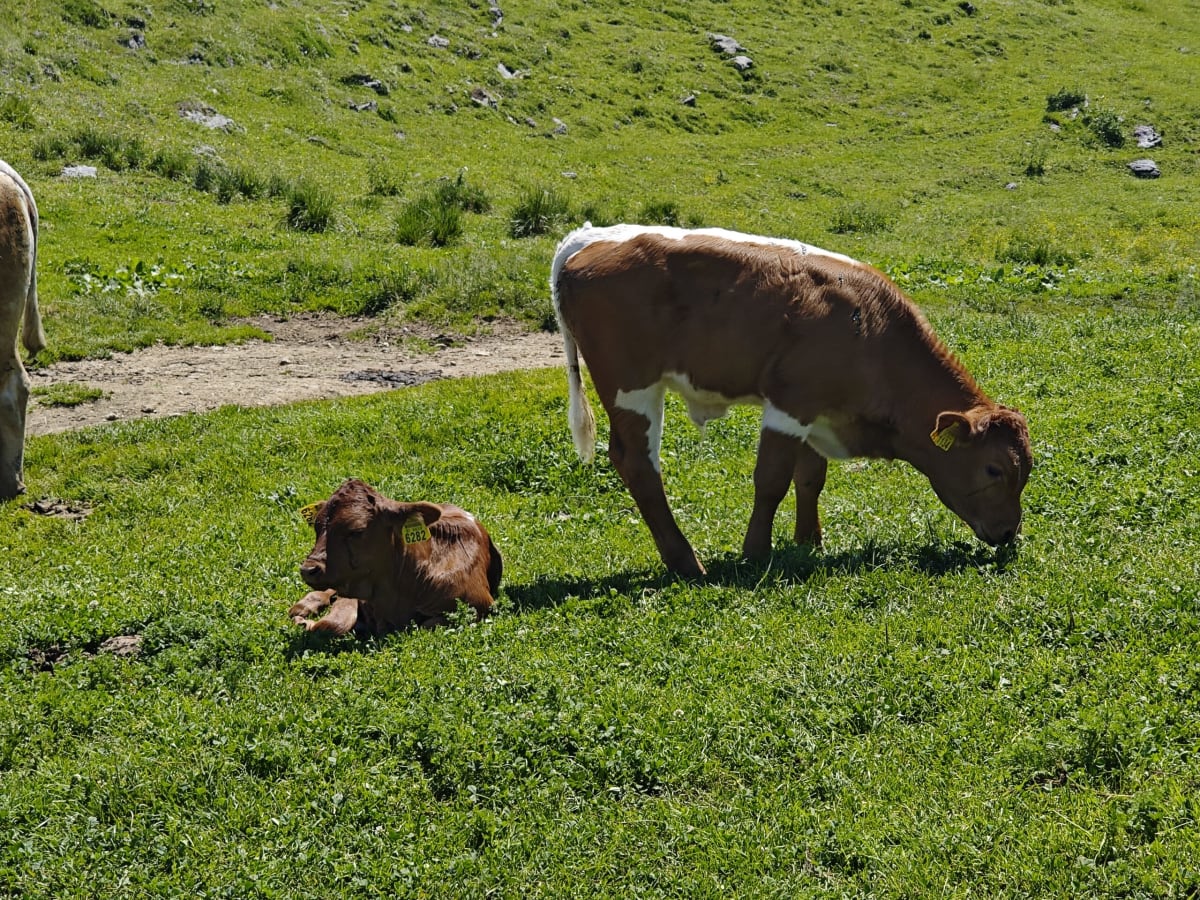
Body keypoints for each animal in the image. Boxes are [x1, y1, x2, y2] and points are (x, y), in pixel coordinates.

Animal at [290, 478, 502, 634]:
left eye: (357, 531)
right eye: (316, 527)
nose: (308, 569)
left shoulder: (479, 604)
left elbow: (425, 625)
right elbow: (333, 623)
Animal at [551, 223, 1032, 578]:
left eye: (1024, 471)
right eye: (994, 469)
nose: (1009, 532)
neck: (869, 329)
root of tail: (586, 239)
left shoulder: (816, 411)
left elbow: (810, 477)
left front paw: (809, 541)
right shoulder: (790, 402)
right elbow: (772, 480)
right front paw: (756, 552)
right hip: (632, 386)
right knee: (638, 464)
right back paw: (686, 562)